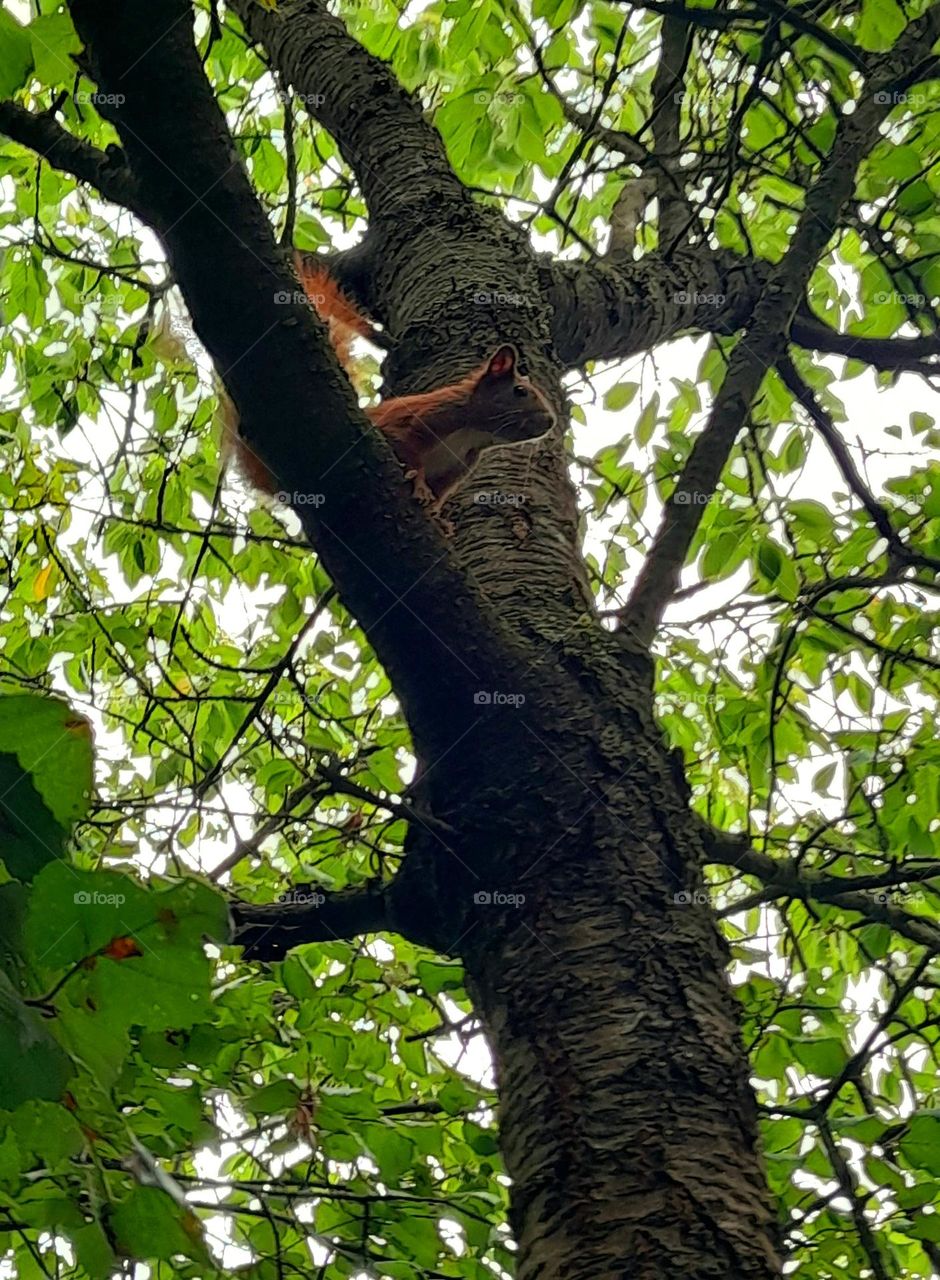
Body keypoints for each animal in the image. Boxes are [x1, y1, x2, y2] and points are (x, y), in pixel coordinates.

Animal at [228, 254, 556, 527]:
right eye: (520, 391)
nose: (551, 422)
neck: (472, 431)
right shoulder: (422, 419)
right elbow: (408, 452)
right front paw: (419, 486)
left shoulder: (458, 467)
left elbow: (440, 494)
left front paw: (438, 518)